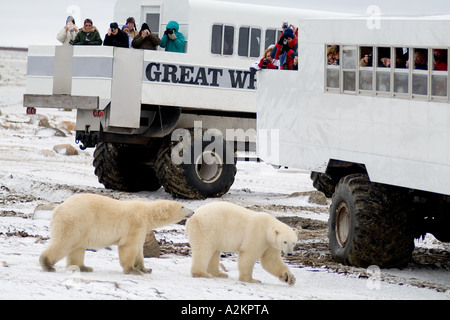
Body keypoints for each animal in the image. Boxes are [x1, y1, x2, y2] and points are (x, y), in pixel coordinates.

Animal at [39, 192, 192, 276]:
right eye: (182, 206)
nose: (192, 212)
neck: (146, 213)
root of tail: (58, 208)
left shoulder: (142, 229)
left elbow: (139, 249)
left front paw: (145, 268)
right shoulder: (134, 224)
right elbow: (128, 246)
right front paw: (132, 270)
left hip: (82, 227)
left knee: (77, 248)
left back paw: (84, 267)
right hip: (76, 220)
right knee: (64, 242)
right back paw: (47, 264)